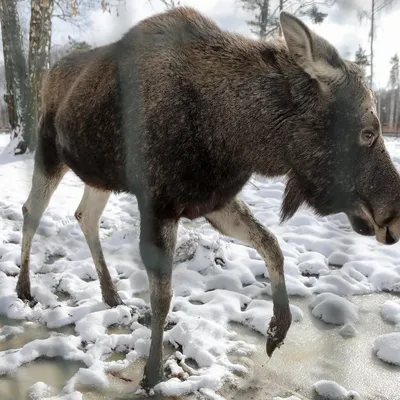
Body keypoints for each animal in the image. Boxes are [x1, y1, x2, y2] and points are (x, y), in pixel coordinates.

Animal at [17, 5, 400, 388]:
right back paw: (24, 289)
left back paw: (110, 293)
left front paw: (277, 329)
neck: (235, 136)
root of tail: (48, 75)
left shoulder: (214, 201)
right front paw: (152, 374)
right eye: (368, 131)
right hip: (49, 153)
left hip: (99, 177)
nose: (394, 217)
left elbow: (271, 244)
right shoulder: (160, 204)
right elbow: (163, 297)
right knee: (31, 210)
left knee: (85, 216)